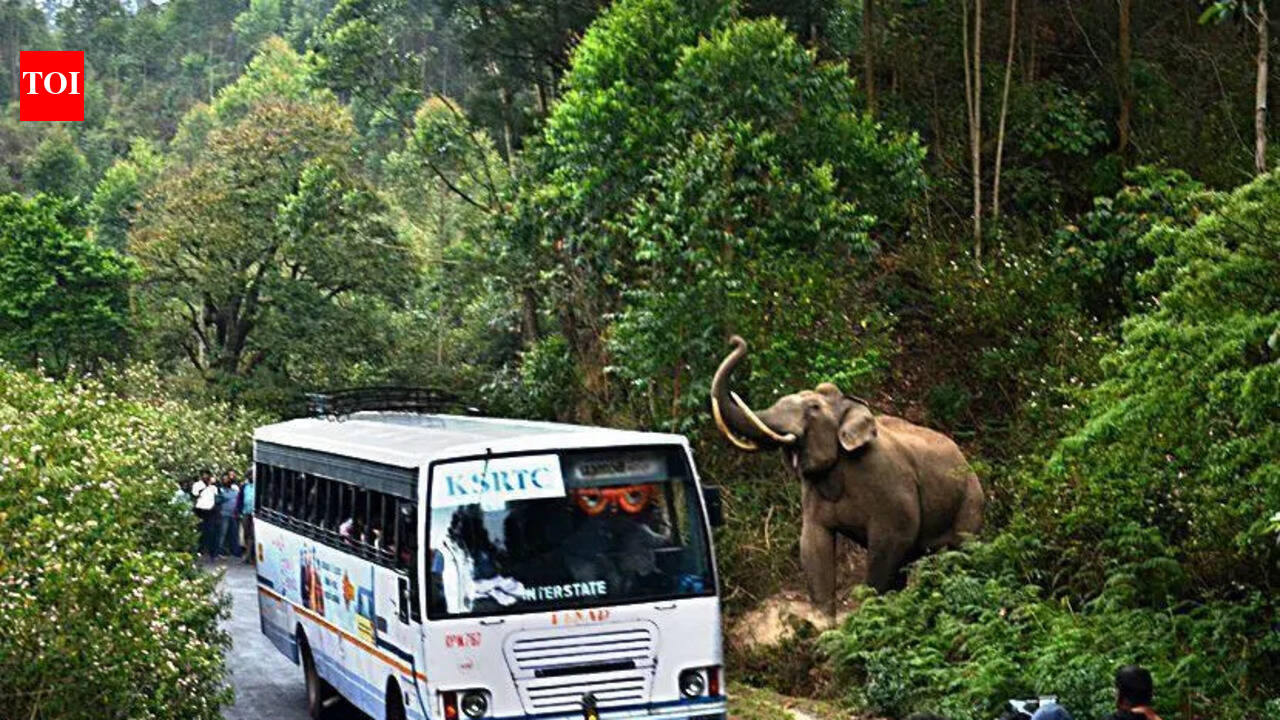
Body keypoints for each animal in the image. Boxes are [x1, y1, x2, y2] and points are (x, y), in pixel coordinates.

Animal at [710, 335, 983, 619]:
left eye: (813, 408)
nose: (735, 340)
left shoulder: (891, 485)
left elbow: (891, 541)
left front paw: (868, 613)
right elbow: (813, 543)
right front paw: (824, 622)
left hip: (971, 499)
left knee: (961, 550)